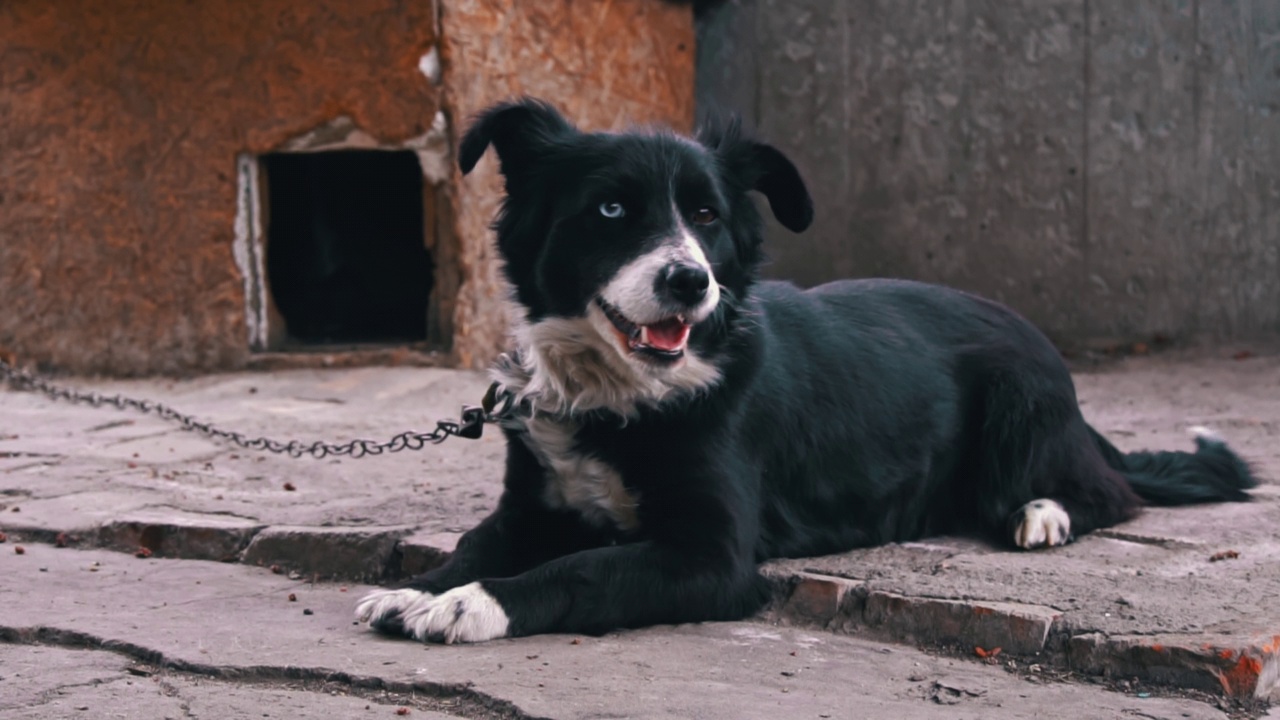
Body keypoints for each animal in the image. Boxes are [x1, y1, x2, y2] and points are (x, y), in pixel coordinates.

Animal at [355, 98, 1254, 640]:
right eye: (610, 209)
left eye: (708, 216)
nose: (690, 281)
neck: (628, 397)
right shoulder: (530, 505)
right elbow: (478, 541)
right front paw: (424, 588)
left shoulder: (711, 559)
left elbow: (580, 569)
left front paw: (472, 605)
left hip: (1021, 404)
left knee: (1112, 492)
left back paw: (1043, 512)